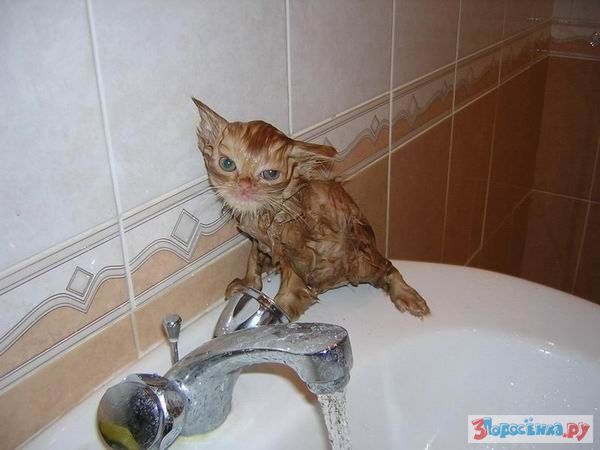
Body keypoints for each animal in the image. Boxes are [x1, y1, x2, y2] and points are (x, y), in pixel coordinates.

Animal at [193, 98, 430, 320]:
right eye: (227, 164)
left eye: (270, 174)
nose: (244, 186)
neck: (269, 210)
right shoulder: (257, 238)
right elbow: (253, 258)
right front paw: (248, 283)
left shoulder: (296, 253)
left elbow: (290, 288)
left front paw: (277, 313)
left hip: (361, 262)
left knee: (388, 267)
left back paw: (407, 295)